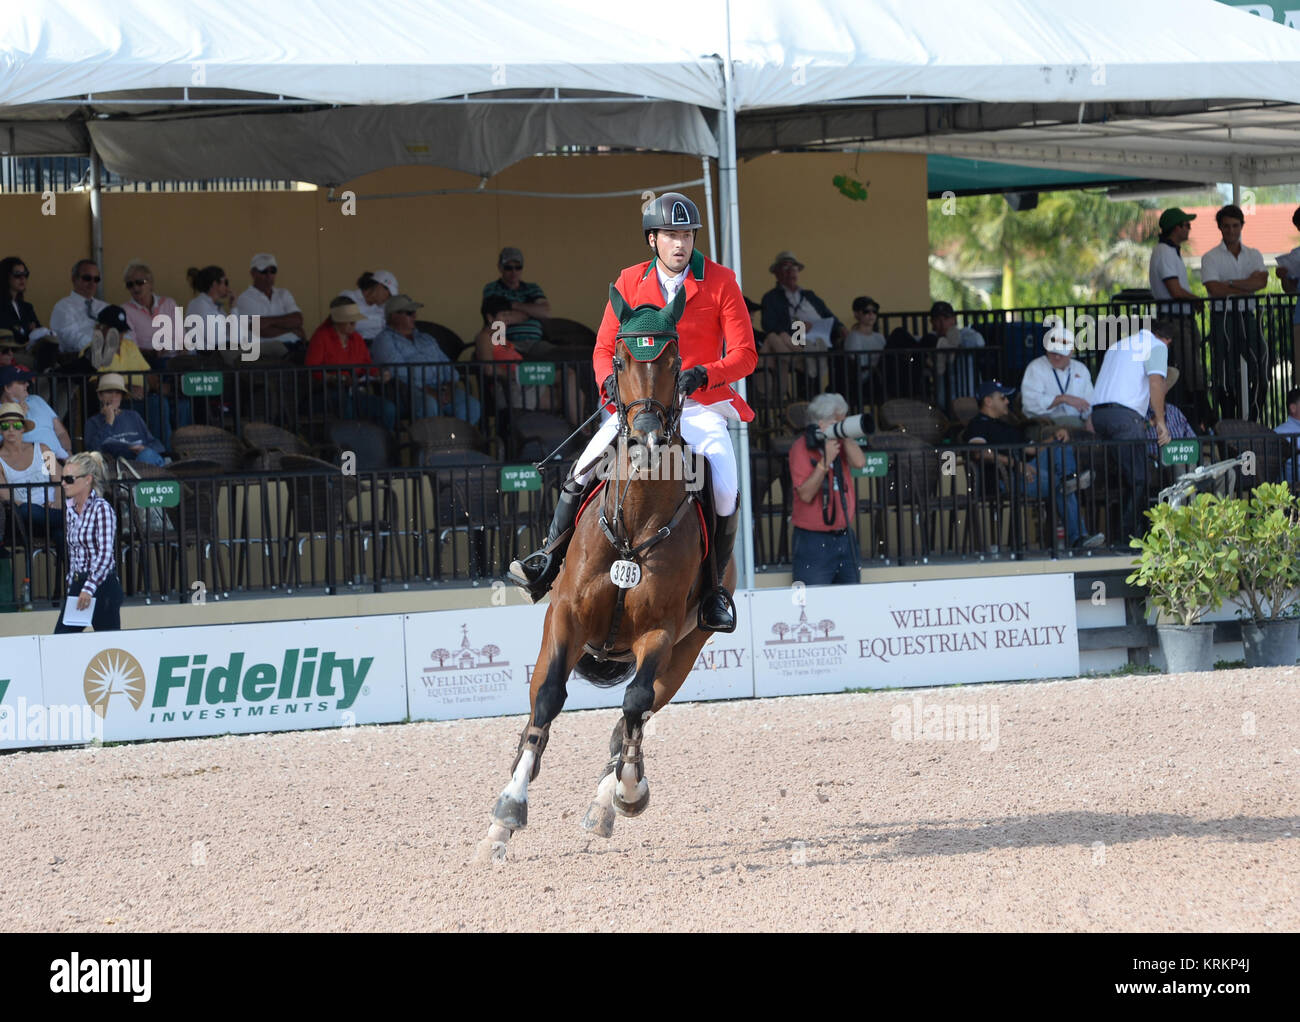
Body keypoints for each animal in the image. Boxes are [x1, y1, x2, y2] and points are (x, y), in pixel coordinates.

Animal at [478, 284, 738, 858]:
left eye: (676, 361)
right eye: (619, 360)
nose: (645, 440)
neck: (636, 518)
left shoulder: (660, 632)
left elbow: (634, 706)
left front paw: (628, 792)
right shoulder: (566, 619)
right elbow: (548, 701)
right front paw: (508, 811)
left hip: (685, 652)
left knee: (636, 716)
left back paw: (608, 801)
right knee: (545, 710)